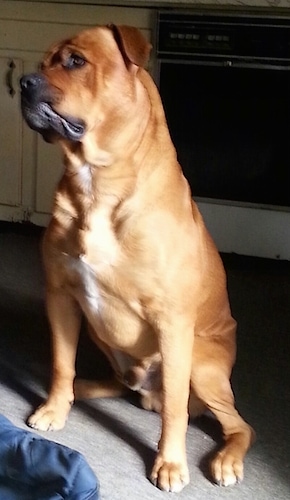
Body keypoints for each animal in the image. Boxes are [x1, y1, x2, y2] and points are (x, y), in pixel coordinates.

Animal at [19, 24, 254, 492]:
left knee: (235, 424)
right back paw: (83, 390)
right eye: (41, 63)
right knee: (115, 382)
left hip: (202, 365)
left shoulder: (173, 322)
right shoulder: (60, 295)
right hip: (101, 336)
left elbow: (176, 410)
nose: (20, 83)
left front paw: (171, 463)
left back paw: (226, 460)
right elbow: (60, 364)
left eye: (76, 61)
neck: (97, 183)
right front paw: (55, 406)